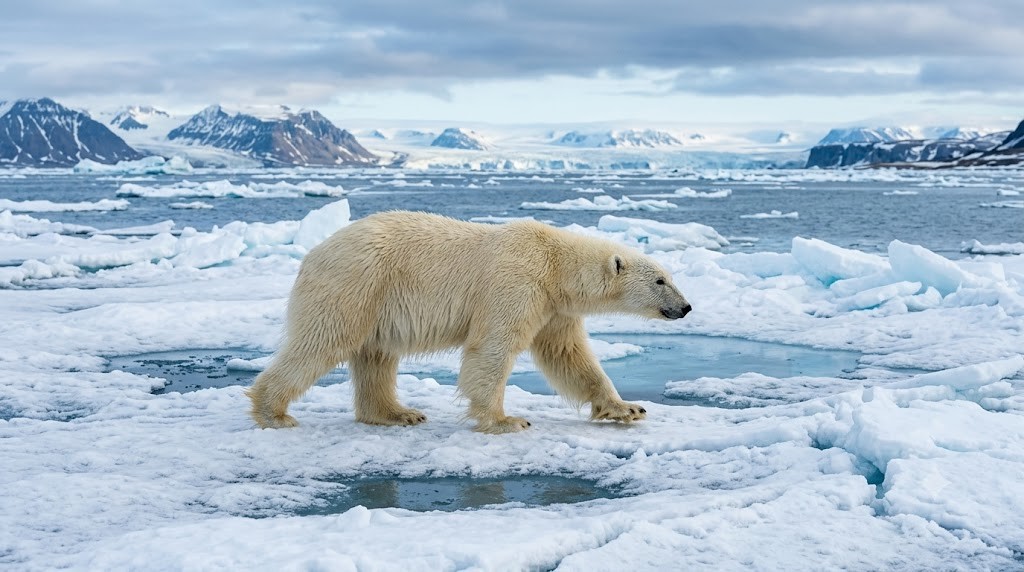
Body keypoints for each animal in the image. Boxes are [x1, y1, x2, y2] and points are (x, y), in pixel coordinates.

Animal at [247, 211, 692, 434]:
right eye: (660, 280)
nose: (686, 307)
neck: (554, 263)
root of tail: (312, 253)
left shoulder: (554, 308)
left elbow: (569, 356)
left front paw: (627, 409)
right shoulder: (517, 283)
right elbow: (493, 347)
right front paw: (507, 420)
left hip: (375, 300)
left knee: (376, 356)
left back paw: (398, 413)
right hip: (356, 283)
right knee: (323, 341)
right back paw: (274, 412)